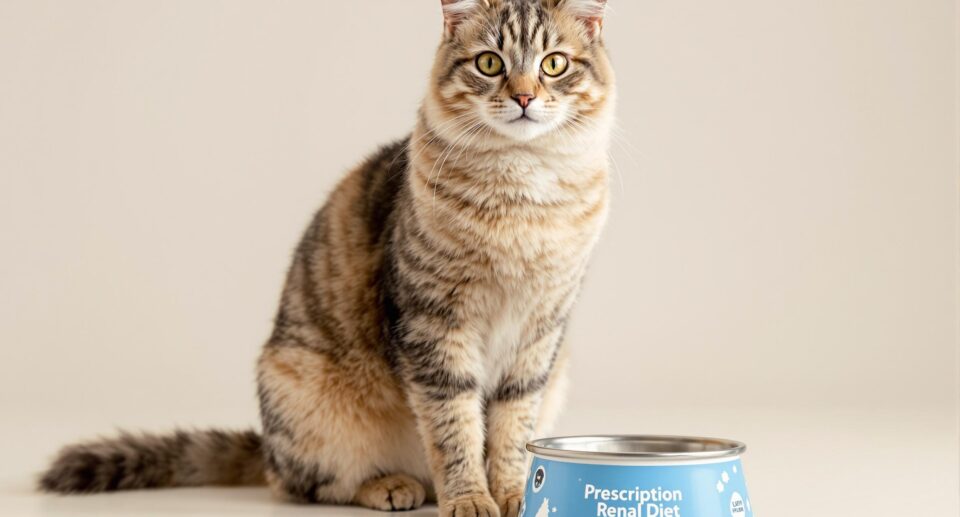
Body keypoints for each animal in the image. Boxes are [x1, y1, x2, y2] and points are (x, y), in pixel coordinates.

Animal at [37, 2, 616, 512]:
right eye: (489, 63)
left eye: (554, 63)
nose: (524, 97)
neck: (522, 192)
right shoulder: (434, 325)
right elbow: (455, 429)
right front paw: (470, 499)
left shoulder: (539, 336)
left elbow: (513, 430)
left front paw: (517, 494)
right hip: (303, 396)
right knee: (305, 485)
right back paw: (391, 487)